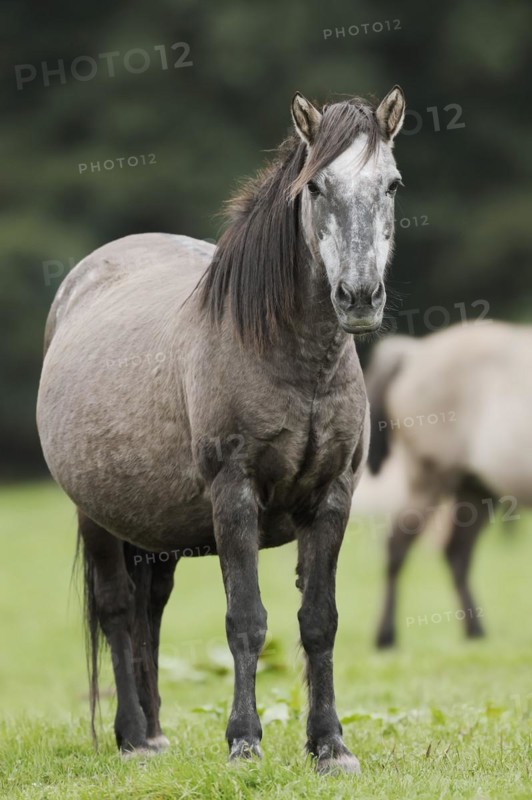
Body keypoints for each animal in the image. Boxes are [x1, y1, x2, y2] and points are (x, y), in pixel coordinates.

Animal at [36, 86, 406, 773]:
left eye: (391, 184)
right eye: (317, 187)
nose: (359, 297)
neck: (292, 362)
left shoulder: (333, 498)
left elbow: (319, 621)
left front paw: (329, 745)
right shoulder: (234, 497)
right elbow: (247, 622)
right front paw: (244, 741)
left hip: (156, 530)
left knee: (150, 610)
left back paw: (156, 732)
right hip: (94, 516)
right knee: (118, 609)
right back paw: (134, 738)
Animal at [366, 321, 532, 648]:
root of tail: (415, 354)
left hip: (475, 489)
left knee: (456, 553)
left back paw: (475, 631)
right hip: (429, 481)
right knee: (397, 546)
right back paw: (385, 635)